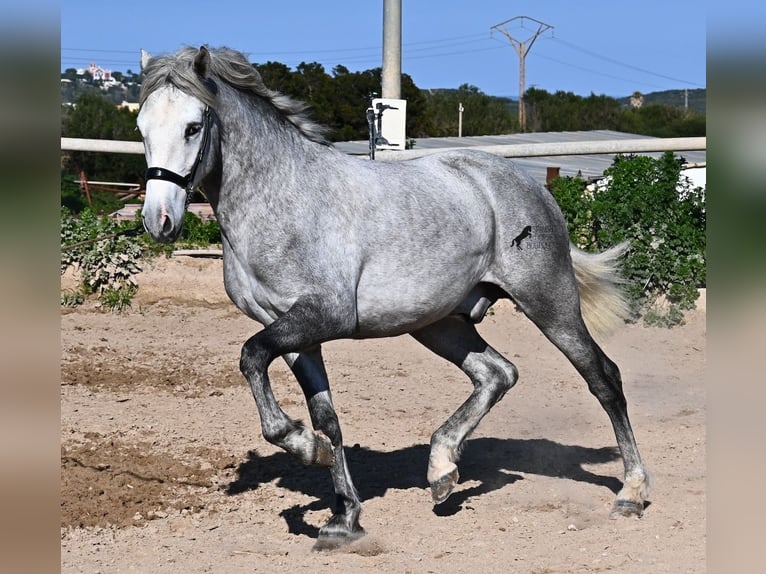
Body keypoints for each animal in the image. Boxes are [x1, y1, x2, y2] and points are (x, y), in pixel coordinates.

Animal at [136, 46, 648, 552]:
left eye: (192, 127)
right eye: (141, 128)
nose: (159, 221)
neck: (281, 200)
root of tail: (530, 187)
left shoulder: (323, 316)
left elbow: (252, 358)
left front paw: (304, 448)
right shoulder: (295, 333)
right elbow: (327, 417)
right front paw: (344, 518)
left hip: (548, 301)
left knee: (603, 377)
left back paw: (632, 493)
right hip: (439, 323)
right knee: (497, 373)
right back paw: (442, 471)